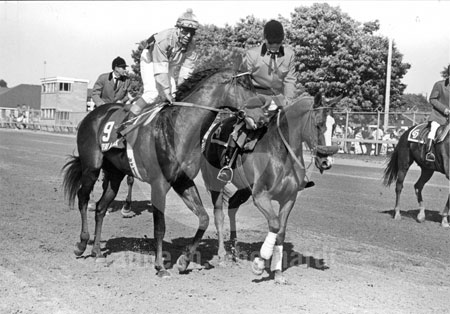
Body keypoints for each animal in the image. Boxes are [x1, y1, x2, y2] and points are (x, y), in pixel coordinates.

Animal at [61, 67, 256, 276]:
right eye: (245, 85)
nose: (263, 115)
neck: (180, 128)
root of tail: (93, 114)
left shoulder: (182, 181)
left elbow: (203, 218)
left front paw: (184, 261)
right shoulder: (159, 184)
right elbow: (160, 227)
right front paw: (160, 266)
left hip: (115, 174)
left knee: (100, 207)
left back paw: (97, 251)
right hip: (91, 167)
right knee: (83, 198)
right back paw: (82, 244)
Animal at [199, 92, 340, 284]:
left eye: (334, 126)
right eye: (318, 124)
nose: (326, 161)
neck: (280, 151)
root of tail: (215, 129)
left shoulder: (289, 199)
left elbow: (280, 231)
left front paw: (278, 273)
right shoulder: (260, 196)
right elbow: (274, 224)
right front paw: (259, 263)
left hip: (244, 189)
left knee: (233, 207)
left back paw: (234, 251)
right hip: (216, 184)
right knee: (219, 215)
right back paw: (222, 256)